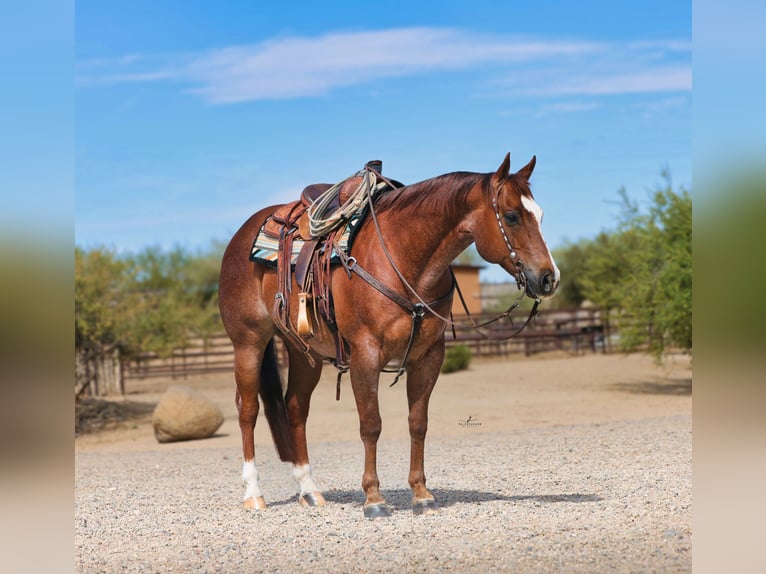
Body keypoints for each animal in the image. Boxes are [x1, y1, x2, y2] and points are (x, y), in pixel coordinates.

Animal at [218, 153, 559, 518]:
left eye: (540, 215)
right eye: (511, 216)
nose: (549, 278)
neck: (402, 256)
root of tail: (241, 235)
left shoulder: (429, 357)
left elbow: (418, 422)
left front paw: (421, 494)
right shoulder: (365, 355)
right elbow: (371, 424)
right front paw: (374, 498)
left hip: (303, 351)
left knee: (295, 408)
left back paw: (309, 490)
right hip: (248, 342)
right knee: (247, 410)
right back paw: (254, 493)